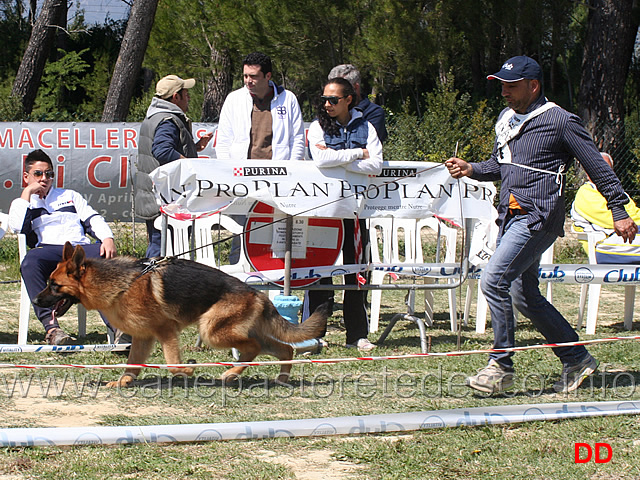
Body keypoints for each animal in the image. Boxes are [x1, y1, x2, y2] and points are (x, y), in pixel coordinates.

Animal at [33, 242, 330, 388]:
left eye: (54, 285)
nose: (35, 299)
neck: (121, 283)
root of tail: (256, 293)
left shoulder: (165, 331)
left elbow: (173, 364)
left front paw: (189, 368)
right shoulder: (142, 337)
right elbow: (132, 364)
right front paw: (123, 382)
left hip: (211, 331)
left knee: (254, 348)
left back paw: (230, 374)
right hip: (235, 331)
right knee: (283, 349)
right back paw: (279, 378)